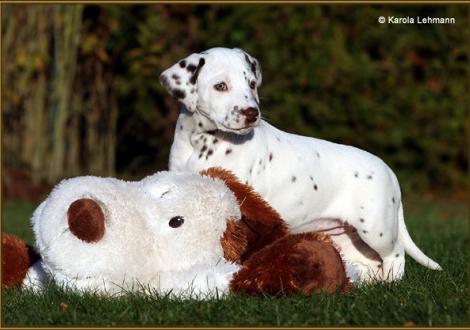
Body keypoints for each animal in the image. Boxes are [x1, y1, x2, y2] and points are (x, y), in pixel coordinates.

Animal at [160, 47, 442, 284]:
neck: (202, 140)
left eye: (251, 84)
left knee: (395, 253)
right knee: (371, 260)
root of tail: (390, 173)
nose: (253, 113)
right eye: (220, 86)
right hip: (347, 236)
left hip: (376, 227)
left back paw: (390, 283)